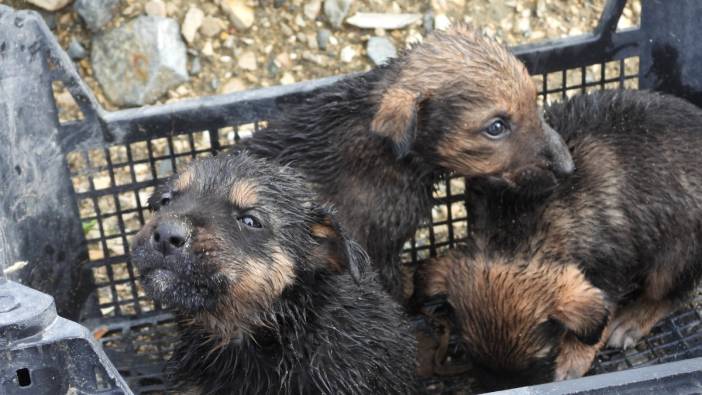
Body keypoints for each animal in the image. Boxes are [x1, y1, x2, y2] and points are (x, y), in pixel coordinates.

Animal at [420, 91, 702, 392]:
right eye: (468, 353)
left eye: (543, 359)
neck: (515, 229)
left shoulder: (610, 270)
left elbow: (596, 321)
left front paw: (572, 357)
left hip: (677, 252)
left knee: (671, 293)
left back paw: (633, 319)